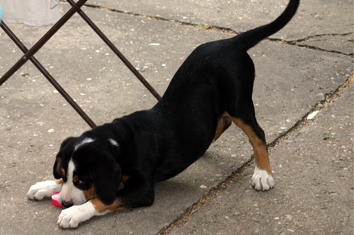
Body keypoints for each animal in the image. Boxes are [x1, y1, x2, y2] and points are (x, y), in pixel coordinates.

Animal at [27, 0, 298, 228]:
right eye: (65, 175)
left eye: (84, 180)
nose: (64, 202)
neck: (120, 141)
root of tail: (231, 41)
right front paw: (46, 185)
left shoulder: (143, 187)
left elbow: (103, 199)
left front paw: (74, 213)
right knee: (219, 124)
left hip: (238, 100)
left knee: (257, 133)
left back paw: (263, 174)